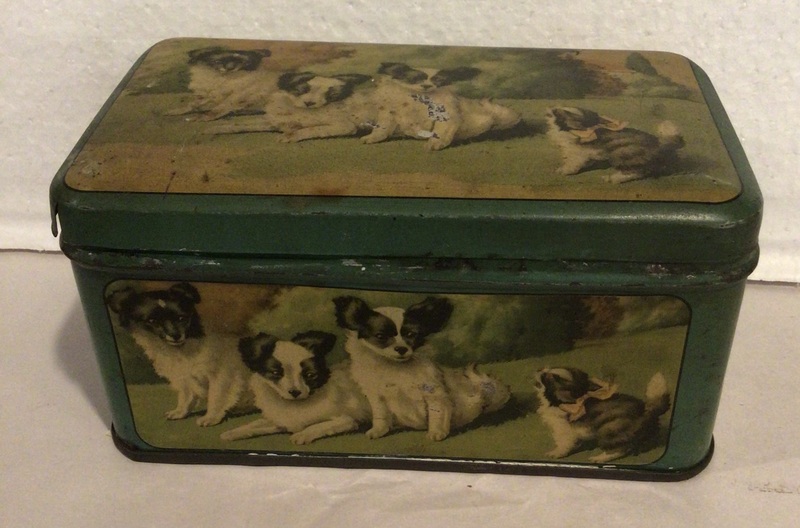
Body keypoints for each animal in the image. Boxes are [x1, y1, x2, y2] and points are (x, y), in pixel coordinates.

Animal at [106, 282, 251, 426]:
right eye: (152, 321)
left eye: (181, 318)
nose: (176, 336)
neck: (181, 351)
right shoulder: (183, 378)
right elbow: (185, 397)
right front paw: (180, 412)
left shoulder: (221, 375)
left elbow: (216, 397)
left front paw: (211, 417)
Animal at [220, 331, 370, 444]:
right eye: (276, 373)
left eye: (310, 375)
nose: (295, 392)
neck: (294, 405)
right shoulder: (279, 421)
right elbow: (254, 425)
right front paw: (231, 433)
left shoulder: (347, 420)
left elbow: (318, 426)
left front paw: (301, 435)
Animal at [333, 295, 510, 441]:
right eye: (381, 336)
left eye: (411, 335)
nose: (401, 349)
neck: (393, 367)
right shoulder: (376, 396)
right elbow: (380, 414)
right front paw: (379, 430)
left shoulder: (434, 393)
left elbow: (437, 412)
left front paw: (437, 432)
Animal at [533, 367, 671, 463]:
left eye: (545, 378)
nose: (539, 370)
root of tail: (645, 409)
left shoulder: (563, 429)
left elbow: (563, 443)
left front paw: (556, 453)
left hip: (609, 429)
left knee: (620, 449)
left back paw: (599, 458)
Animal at [545, 106, 685, 183]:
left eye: (559, 113)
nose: (550, 109)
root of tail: (659, 142)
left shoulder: (578, 154)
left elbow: (571, 165)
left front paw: (563, 171)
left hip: (622, 153)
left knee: (635, 172)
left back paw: (612, 178)